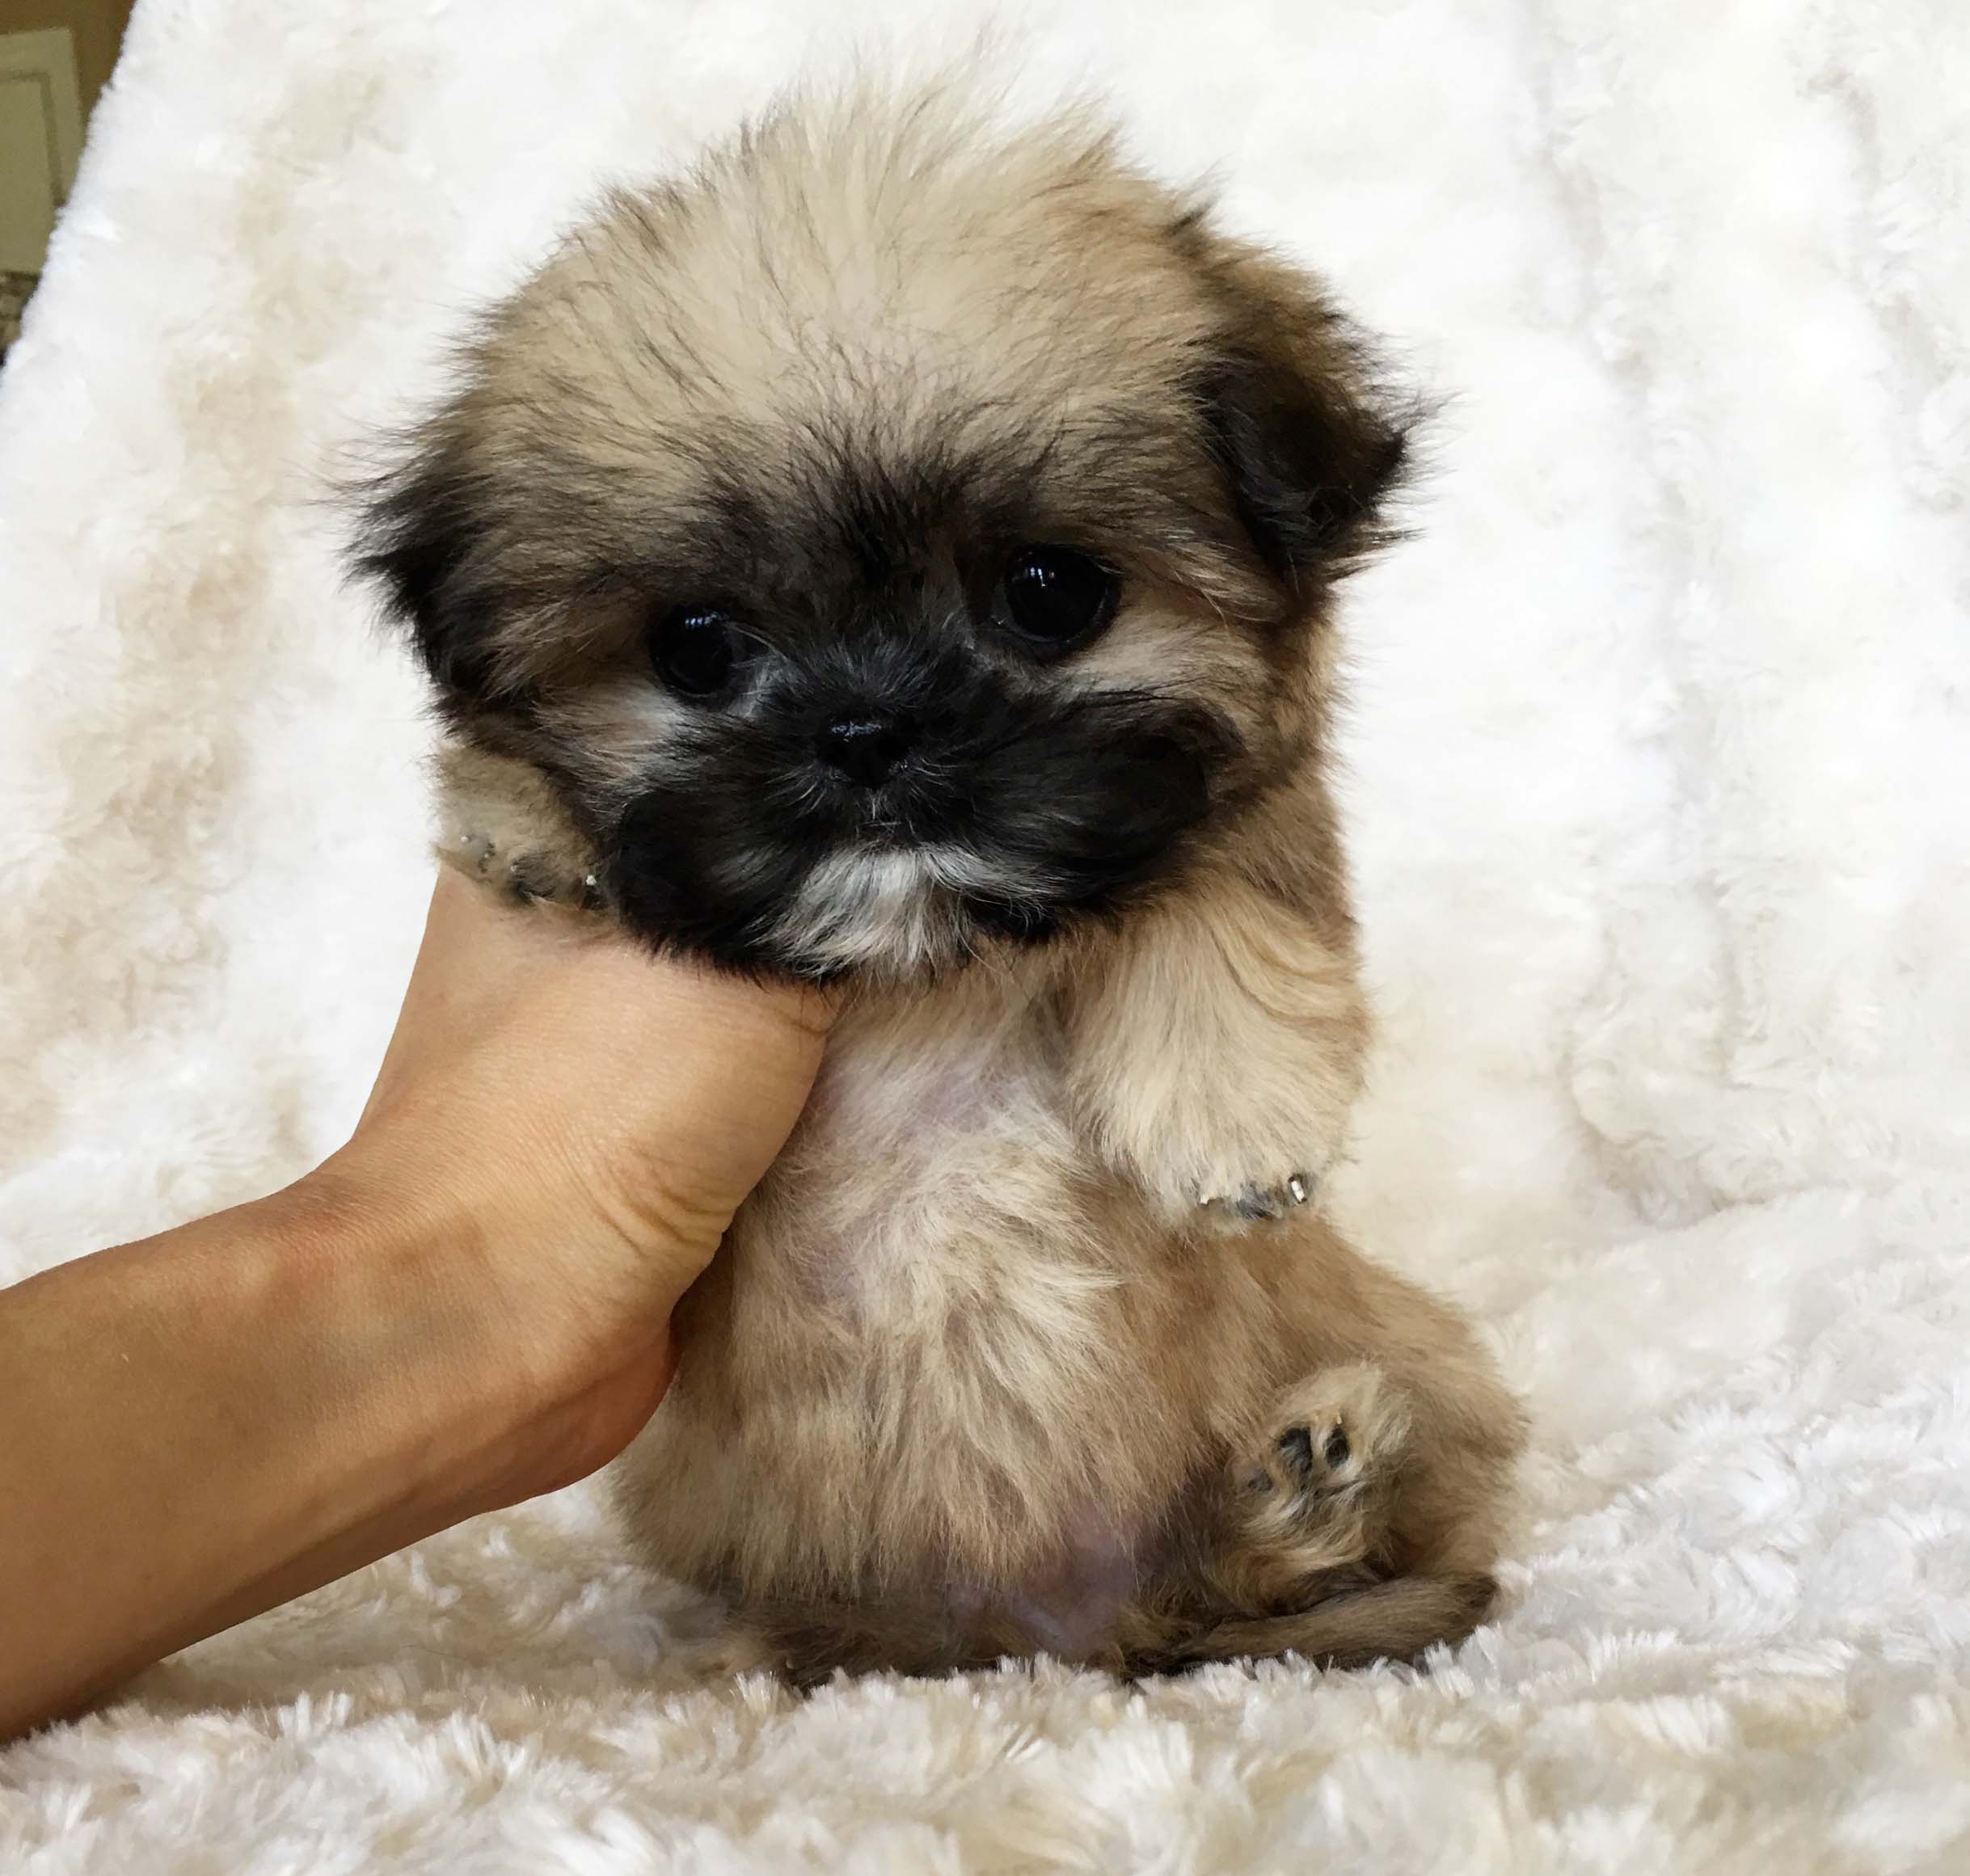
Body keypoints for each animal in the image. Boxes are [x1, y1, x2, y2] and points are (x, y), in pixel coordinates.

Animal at [354, 80, 1521, 1679]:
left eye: (1050, 593)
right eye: (695, 646)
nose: (866, 731)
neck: (931, 964)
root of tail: (1057, 1636)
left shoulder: (1224, 804)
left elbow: (1220, 885)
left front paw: (1228, 1111)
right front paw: (526, 829)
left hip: (1417, 1349)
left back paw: (1318, 1479)